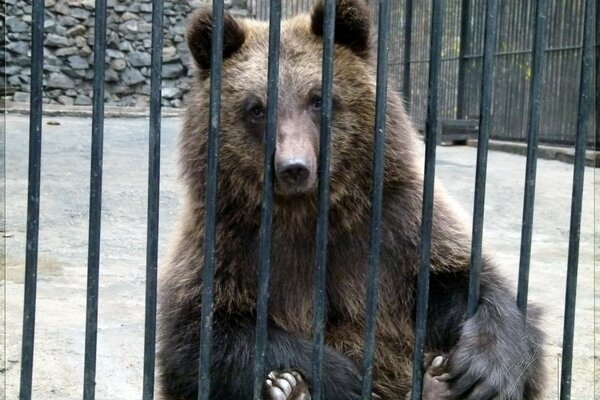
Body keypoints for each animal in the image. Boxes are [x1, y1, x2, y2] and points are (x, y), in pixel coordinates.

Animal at [157, 1, 548, 398]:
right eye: (256, 108)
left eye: (318, 99)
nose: (294, 167)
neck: (309, 212)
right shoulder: (229, 241)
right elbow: (201, 333)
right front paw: (334, 379)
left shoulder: (397, 223)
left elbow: (464, 281)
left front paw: (482, 369)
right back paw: (289, 387)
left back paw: (438, 383)